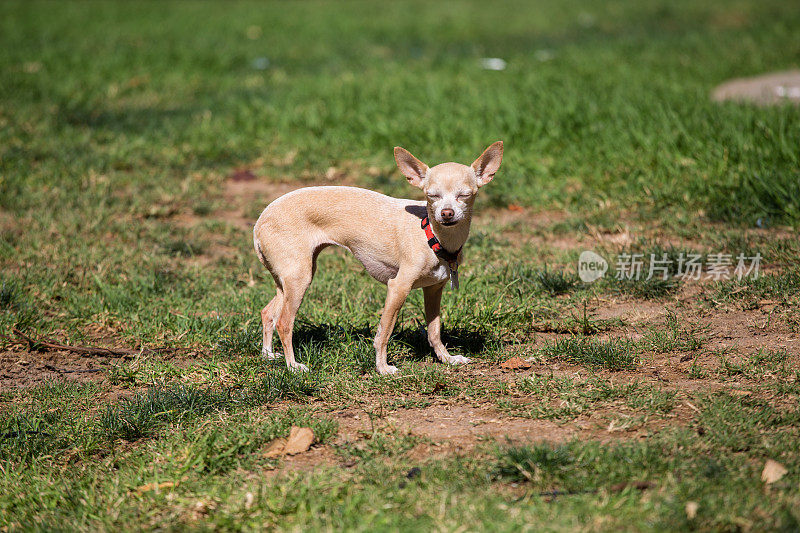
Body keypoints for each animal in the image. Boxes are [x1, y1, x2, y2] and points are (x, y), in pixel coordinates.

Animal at [253, 141, 504, 374]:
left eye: (464, 195)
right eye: (431, 196)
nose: (447, 213)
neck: (433, 236)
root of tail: (260, 221)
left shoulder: (433, 290)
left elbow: (434, 331)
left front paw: (447, 359)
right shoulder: (398, 288)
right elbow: (384, 332)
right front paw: (383, 368)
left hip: (290, 279)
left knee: (268, 313)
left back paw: (268, 355)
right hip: (300, 278)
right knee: (284, 322)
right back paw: (293, 366)